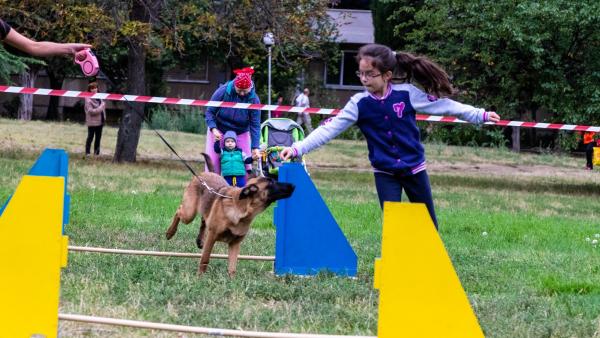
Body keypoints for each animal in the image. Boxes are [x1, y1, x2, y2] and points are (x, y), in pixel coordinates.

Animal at [165, 154, 294, 276]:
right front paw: (199, 277)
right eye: (271, 183)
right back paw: (170, 232)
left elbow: (232, 269)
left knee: (203, 220)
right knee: (179, 211)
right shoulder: (212, 237)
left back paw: (199, 240)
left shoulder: (235, 243)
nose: (293, 185)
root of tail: (206, 173)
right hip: (189, 213)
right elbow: (205, 259)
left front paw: (232, 281)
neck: (242, 210)